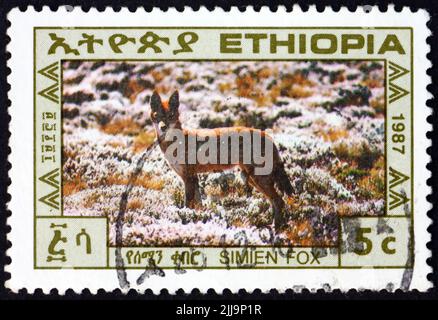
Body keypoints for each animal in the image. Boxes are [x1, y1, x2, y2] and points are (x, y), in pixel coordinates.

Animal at [151, 90, 294, 230]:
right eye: (157, 116)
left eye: (171, 115)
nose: (163, 127)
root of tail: (268, 136)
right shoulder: (193, 177)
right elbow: (198, 205)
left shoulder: (188, 178)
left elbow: (187, 206)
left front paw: (186, 220)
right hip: (251, 179)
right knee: (275, 201)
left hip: (258, 179)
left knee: (279, 201)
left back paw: (276, 228)